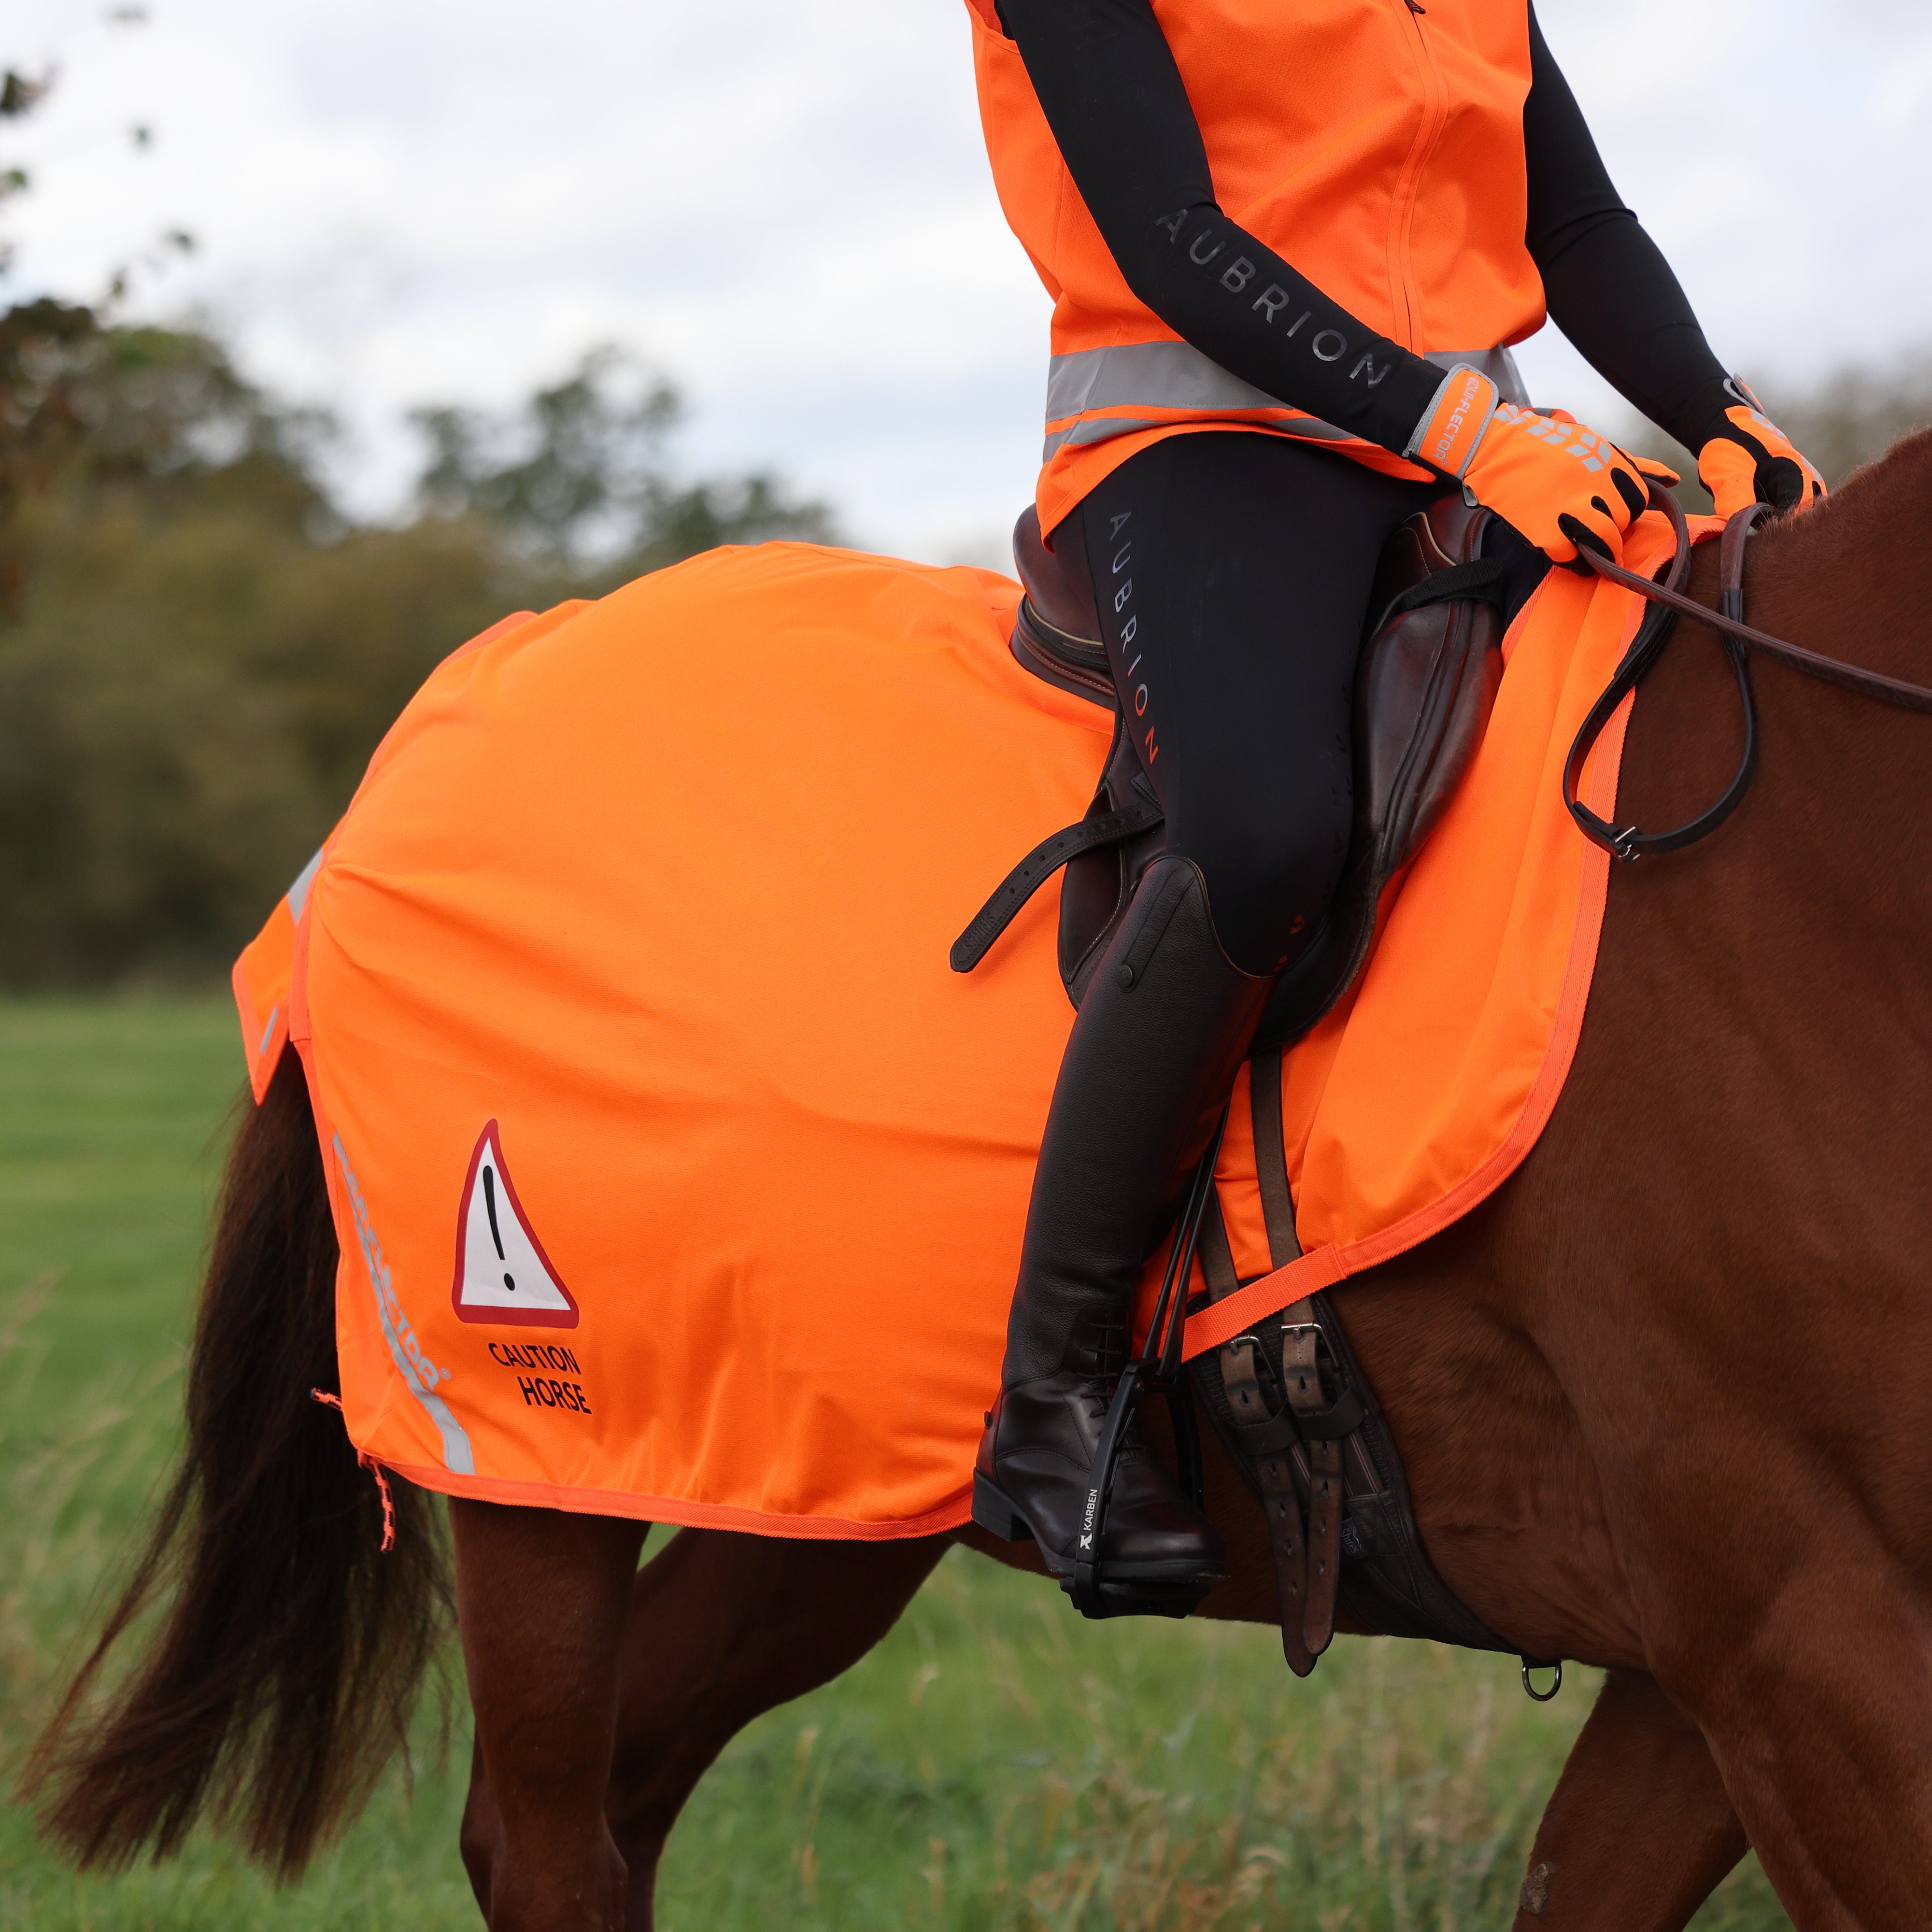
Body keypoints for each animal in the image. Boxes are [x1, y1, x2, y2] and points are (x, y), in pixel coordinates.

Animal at [23, 428, 1932, 1932]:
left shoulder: (1710, 1672)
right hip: (536, 1461)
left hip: (815, 1491)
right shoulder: (1798, 1635)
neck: (1815, 865)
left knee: (612, 1799)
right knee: (550, 1838)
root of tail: (461, 695)